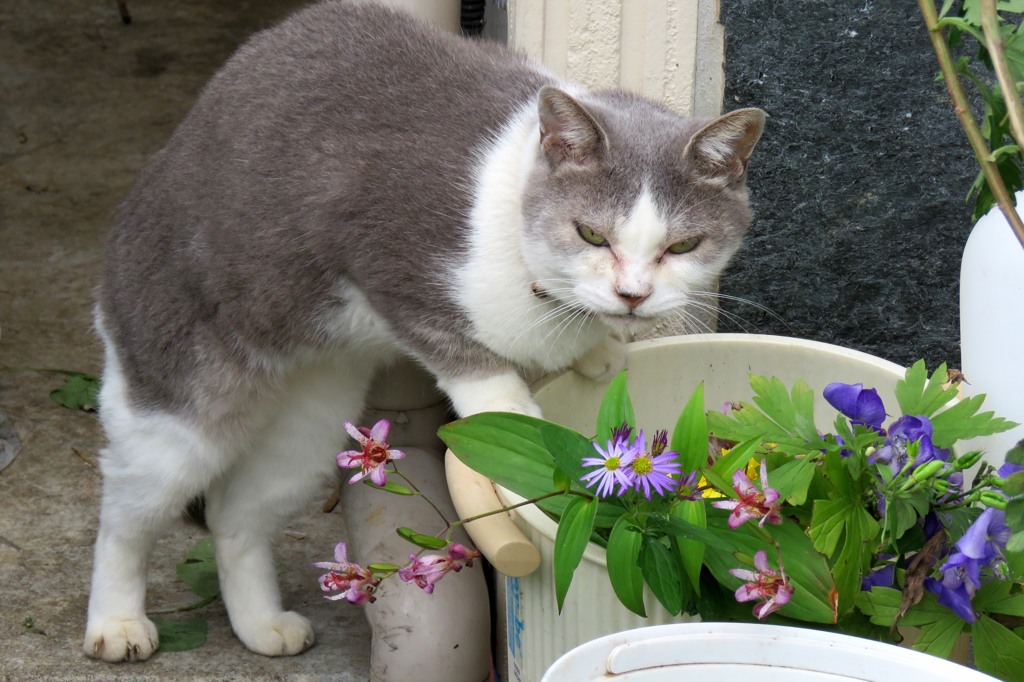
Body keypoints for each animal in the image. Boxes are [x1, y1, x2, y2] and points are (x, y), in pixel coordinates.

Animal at [86, 0, 761, 659]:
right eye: (592, 234)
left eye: (684, 245)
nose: (633, 294)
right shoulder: (387, 266)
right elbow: (474, 365)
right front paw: (519, 438)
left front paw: (599, 350)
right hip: (179, 409)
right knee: (125, 512)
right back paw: (117, 624)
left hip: (309, 426)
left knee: (236, 515)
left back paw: (263, 625)